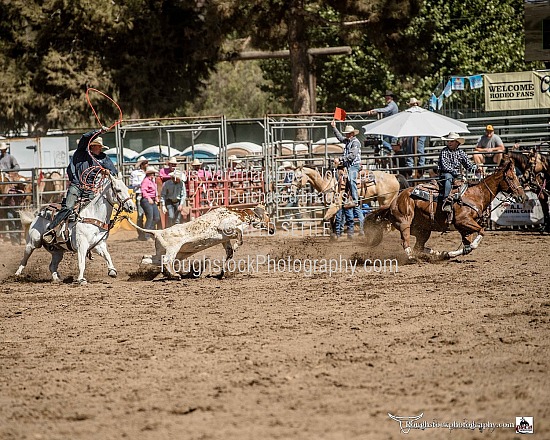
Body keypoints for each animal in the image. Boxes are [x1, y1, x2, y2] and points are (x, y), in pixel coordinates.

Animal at [364, 159, 528, 260]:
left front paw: (450, 253)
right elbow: (480, 232)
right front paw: (463, 249)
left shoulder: (464, 228)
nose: (523, 196)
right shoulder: (463, 221)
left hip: (423, 230)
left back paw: (438, 253)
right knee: (406, 243)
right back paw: (412, 258)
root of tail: (394, 201)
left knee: (419, 246)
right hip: (405, 223)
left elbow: (468, 245)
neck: (475, 195)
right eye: (511, 178)